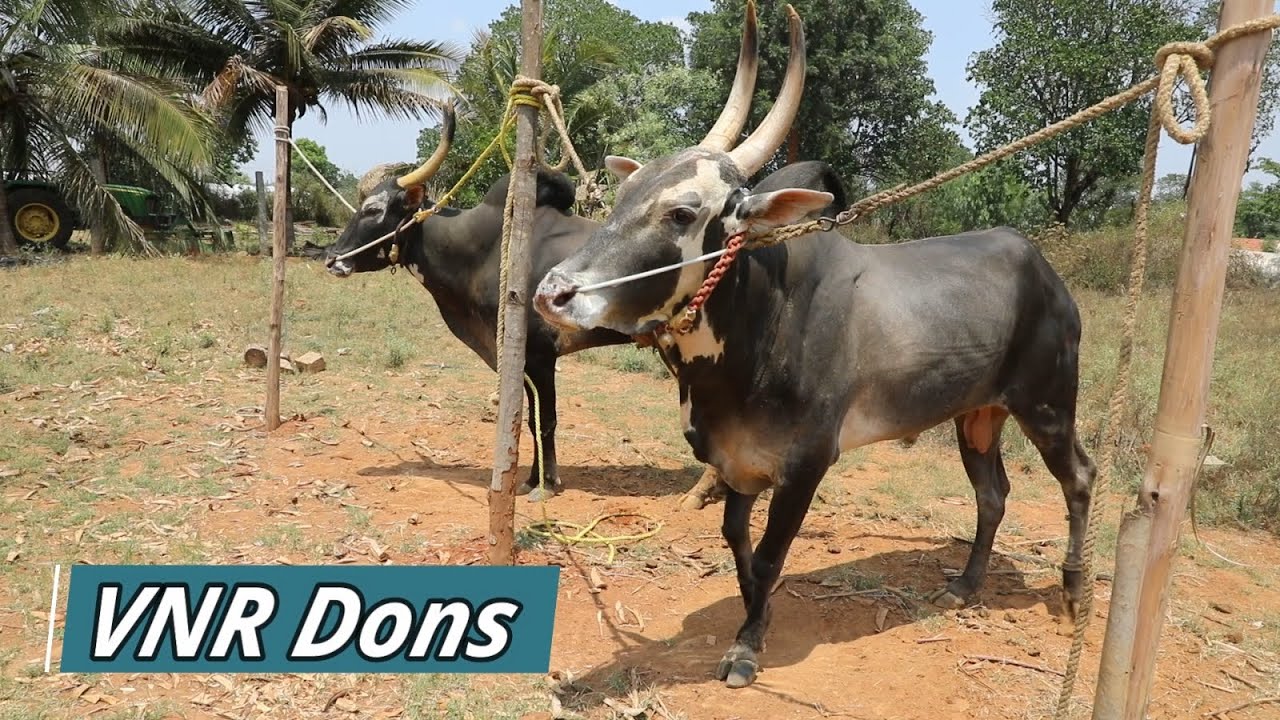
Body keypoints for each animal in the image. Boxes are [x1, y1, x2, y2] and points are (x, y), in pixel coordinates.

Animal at [533, 3, 1097, 689]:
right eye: (621, 198)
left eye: (682, 213)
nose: (553, 293)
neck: (760, 330)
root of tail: (1041, 266)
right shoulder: (736, 460)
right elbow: (738, 543)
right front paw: (757, 616)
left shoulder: (806, 463)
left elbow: (770, 555)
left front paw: (748, 646)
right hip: (977, 414)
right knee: (992, 495)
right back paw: (965, 584)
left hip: (1048, 403)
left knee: (1079, 478)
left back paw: (1073, 594)